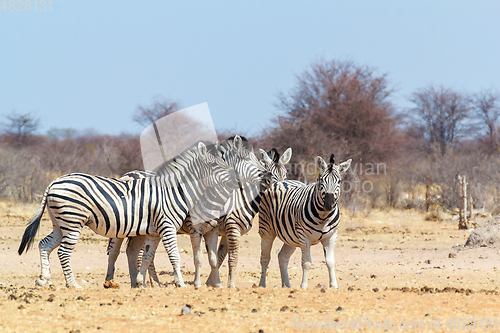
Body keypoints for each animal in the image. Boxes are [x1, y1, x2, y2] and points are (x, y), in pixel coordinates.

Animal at [19, 140, 238, 288]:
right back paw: (73, 284)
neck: (175, 191)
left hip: (60, 222)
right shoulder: (167, 226)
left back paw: (43, 279)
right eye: (215, 166)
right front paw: (181, 284)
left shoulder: (154, 231)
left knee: (44, 244)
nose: (236, 181)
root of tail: (54, 182)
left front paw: (141, 282)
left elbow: (148, 257)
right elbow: (174, 256)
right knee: (64, 252)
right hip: (72, 222)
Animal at [207, 147, 292, 286]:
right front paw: (231, 285)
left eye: (285, 175)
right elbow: (233, 258)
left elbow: (220, 257)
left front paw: (211, 282)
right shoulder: (233, 228)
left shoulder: (227, 232)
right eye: (272, 176)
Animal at [258, 154, 352, 288]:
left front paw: (333, 285)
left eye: (339, 181)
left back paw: (286, 286)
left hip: (291, 237)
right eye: (321, 180)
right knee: (265, 258)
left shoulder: (331, 236)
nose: (328, 203)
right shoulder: (304, 237)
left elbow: (330, 262)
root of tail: (281, 182)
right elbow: (306, 263)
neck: (323, 216)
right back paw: (262, 285)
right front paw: (303, 286)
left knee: (282, 256)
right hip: (266, 231)